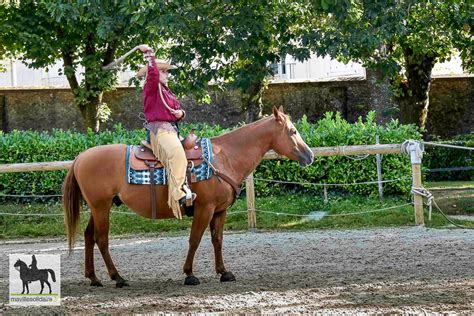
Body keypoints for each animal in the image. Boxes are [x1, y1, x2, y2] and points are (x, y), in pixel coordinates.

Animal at [64, 106, 314, 286]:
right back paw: (118, 278)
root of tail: (80, 157)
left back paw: (94, 278)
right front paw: (189, 274)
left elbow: (217, 240)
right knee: (101, 239)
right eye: (293, 131)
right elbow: (195, 239)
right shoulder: (205, 208)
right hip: (101, 207)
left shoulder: (220, 211)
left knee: (88, 237)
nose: (310, 155)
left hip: (98, 207)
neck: (225, 157)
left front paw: (224, 272)